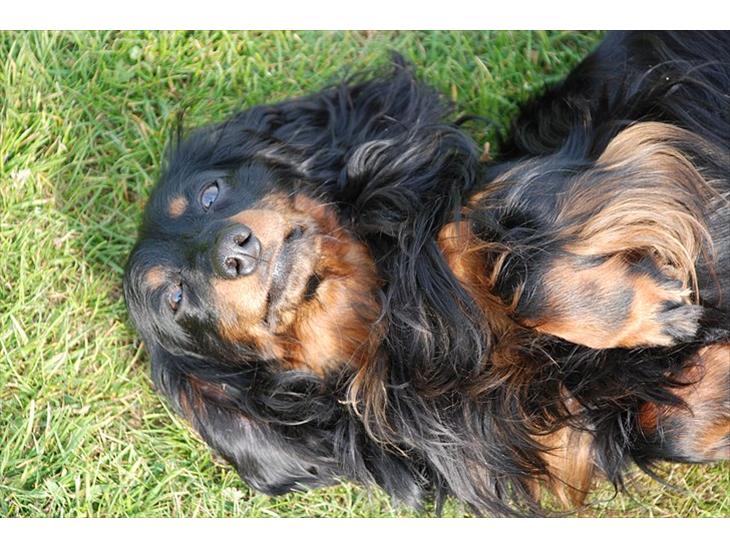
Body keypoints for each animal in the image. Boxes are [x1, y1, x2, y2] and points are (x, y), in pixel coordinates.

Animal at [124, 32, 729, 515]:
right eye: (175, 298)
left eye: (210, 193)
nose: (234, 252)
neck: (392, 318)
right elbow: (668, 425)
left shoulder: (589, 154)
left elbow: (520, 267)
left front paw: (653, 311)